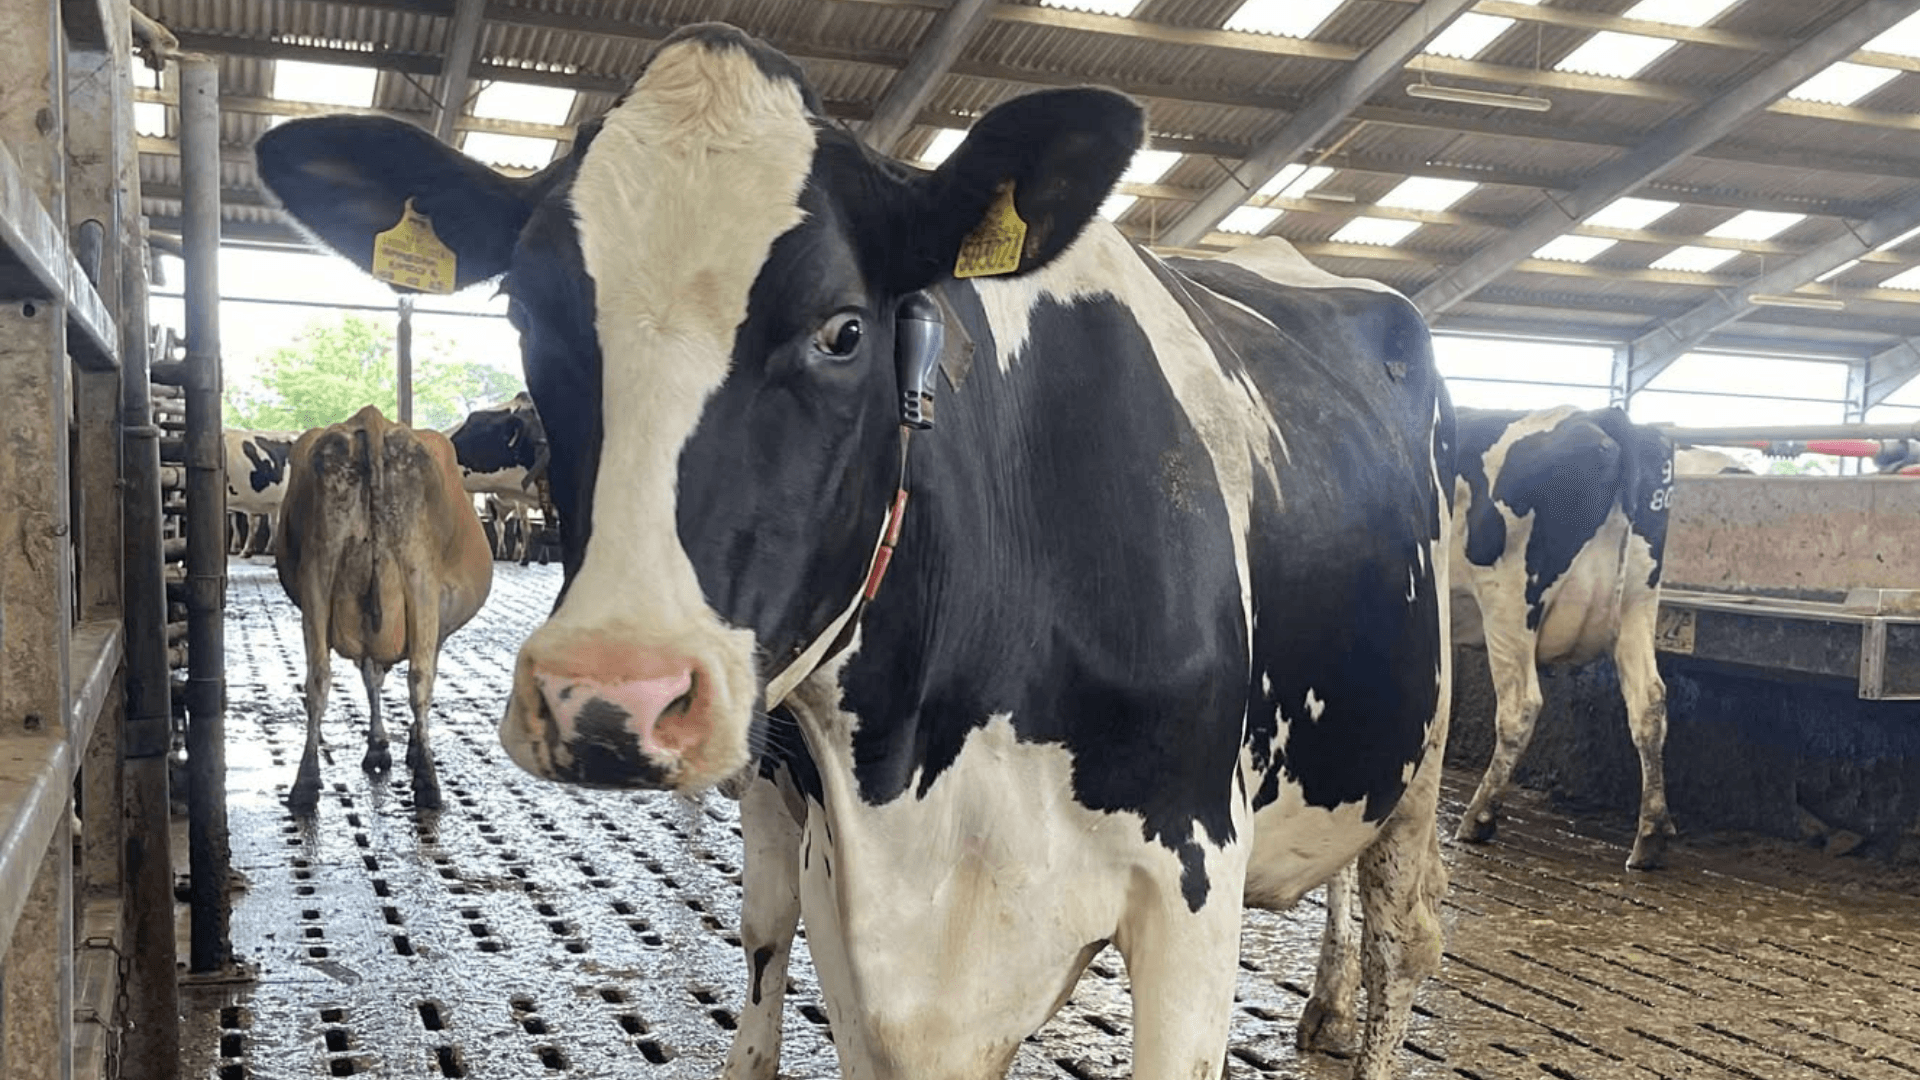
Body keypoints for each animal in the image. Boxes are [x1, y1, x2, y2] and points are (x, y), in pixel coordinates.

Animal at [275, 405, 493, 813]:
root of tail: (372, 419)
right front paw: (404, 746)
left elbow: (370, 675)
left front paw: (378, 746)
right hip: (418, 572)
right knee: (420, 679)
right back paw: (428, 783)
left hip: (318, 571)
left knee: (317, 679)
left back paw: (305, 783)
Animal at [1448, 405, 1676, 871]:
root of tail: (1606, 417)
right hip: (1639, 601)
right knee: (1650, 702)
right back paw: (1651, 835)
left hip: (1509, 600)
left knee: (1520, 706)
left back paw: (1479, 817)